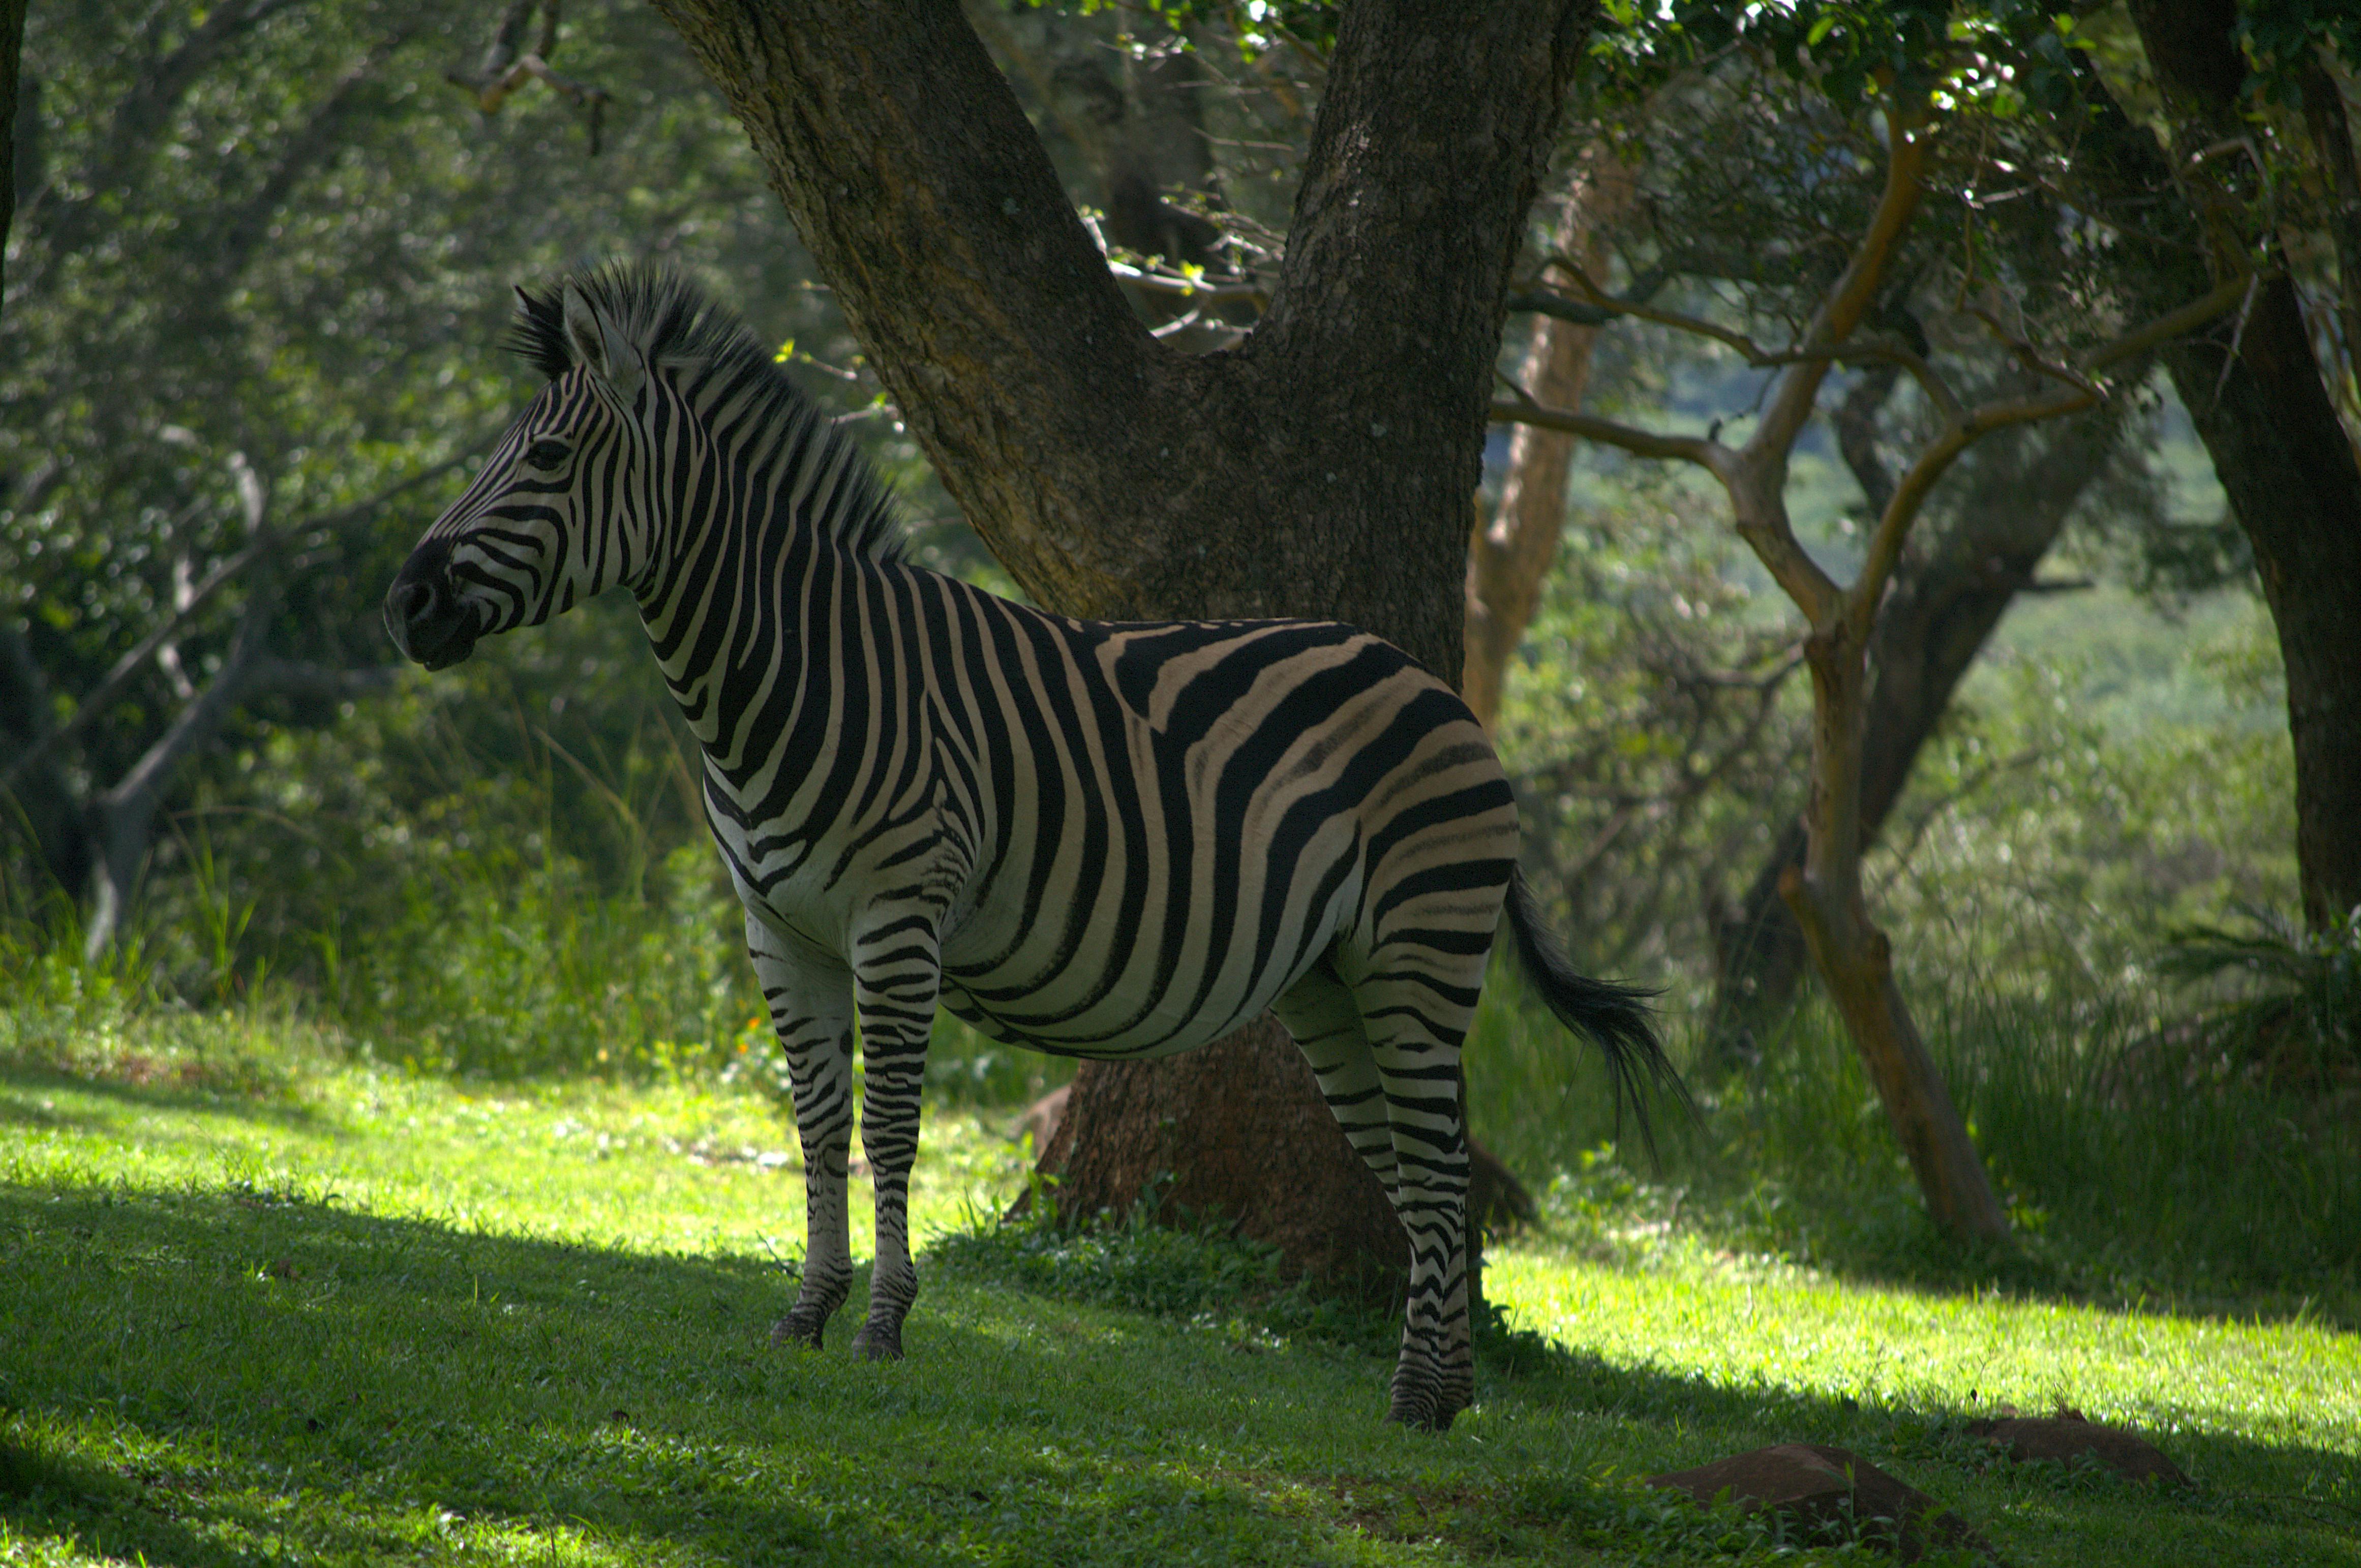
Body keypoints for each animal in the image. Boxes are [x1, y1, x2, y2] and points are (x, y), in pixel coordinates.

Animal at [384, 264, 1680, 1431]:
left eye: (549, 462)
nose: (405, 603)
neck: (796, 675)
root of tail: (1437, 687)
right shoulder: (781, 932)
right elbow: (816, 1121)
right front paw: (805, 1312)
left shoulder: (898, 920)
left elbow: (888, 1125)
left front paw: (885, 1325)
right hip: (1336, 987)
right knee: (1421, 1176)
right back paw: (1440, 1396)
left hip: (1419, 955)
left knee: (1444, 1169)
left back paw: (1419, 1400)